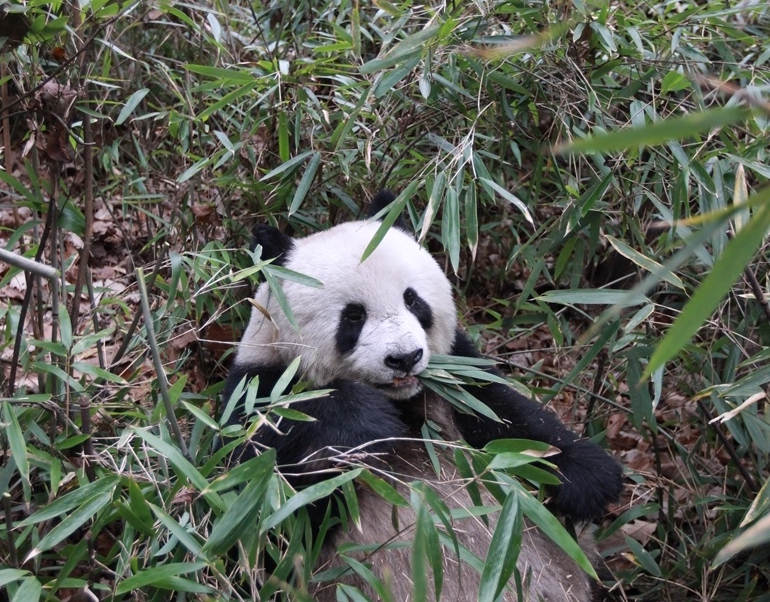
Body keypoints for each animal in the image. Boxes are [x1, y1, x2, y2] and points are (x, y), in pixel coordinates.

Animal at [222, 191, 623, 601]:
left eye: (412, 300)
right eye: (353, 316)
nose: (405, 358)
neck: (404, 400)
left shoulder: (457, 373)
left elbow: (506, 415)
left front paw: (590, 478)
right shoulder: (255, 389)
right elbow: (263, 505)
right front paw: (368, 424)